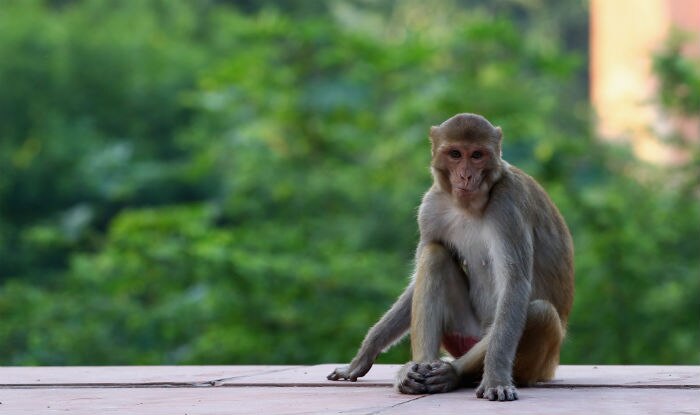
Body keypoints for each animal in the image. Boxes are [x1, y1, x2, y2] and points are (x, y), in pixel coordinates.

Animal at [328, 112, 576, 402]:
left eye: (477, 155)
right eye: (455, 154)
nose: (466, 175)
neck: (470, 206)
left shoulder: (508, 205)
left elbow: (514, 284)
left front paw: (495, 379)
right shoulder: (431, 207)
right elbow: (420, 274)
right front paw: (364, 354)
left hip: (534, 364)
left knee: (539, 313)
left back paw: (454, 374)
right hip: (463, 333)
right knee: (435, 255)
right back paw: (419, 368)